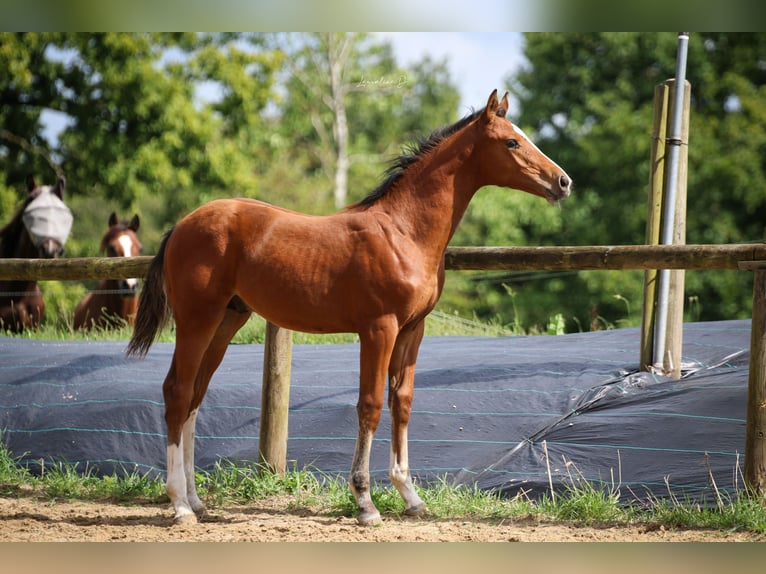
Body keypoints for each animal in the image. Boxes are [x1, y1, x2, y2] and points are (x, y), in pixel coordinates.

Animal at [126, 92, 572, 528]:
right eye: (511, 142)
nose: (563, 181)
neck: (404, 231)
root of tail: (182, 226)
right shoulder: (379, 328)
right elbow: (370, 405)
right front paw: (365, 502)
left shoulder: (413, 330)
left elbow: (402, 401)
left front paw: (411, 497)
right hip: (197, 319)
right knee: (177, 392)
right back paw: (180, 506)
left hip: (227, 320)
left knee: (194, 397)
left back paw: (197, 501)